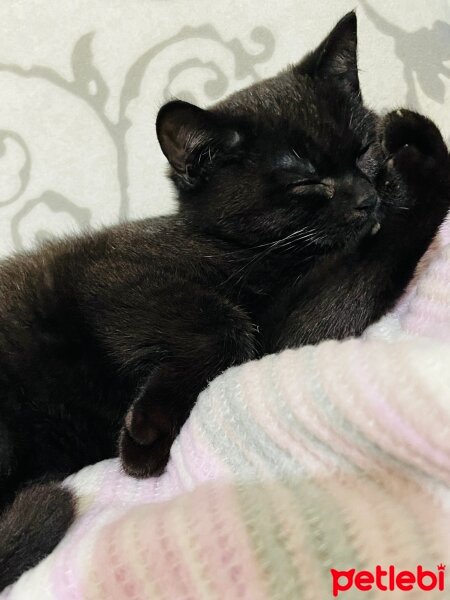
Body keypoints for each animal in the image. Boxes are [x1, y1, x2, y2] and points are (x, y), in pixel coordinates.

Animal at [0, 10, 450, 592]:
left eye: (363, 150)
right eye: (307, 181)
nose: (368, 197)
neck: (250, 252)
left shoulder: (295, 327)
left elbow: (348, 289)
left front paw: (417, 154)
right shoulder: (112, 270)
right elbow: (225, 323)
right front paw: (147, 435)